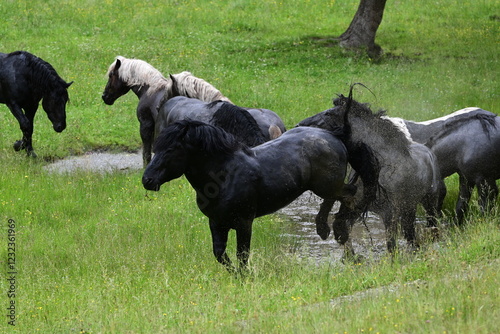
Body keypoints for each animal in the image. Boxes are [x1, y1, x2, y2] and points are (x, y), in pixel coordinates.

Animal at [101, 57, 286, 167]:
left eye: (111, 75)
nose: (105, 97)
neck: (151, 89)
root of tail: (274, 124)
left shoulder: (145, 125)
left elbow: (146, 153)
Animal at [143, 120, 350, 272]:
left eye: (170, 150)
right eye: (156, 148)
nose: (147, 180)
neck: (224, 176)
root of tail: (334, 136)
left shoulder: (244, 222)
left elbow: (242, 254)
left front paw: (245, 277)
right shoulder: (216, 222)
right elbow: (219, 253)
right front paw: (237, 275)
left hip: (327, 186)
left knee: (349, 196)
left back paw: (334, 232)